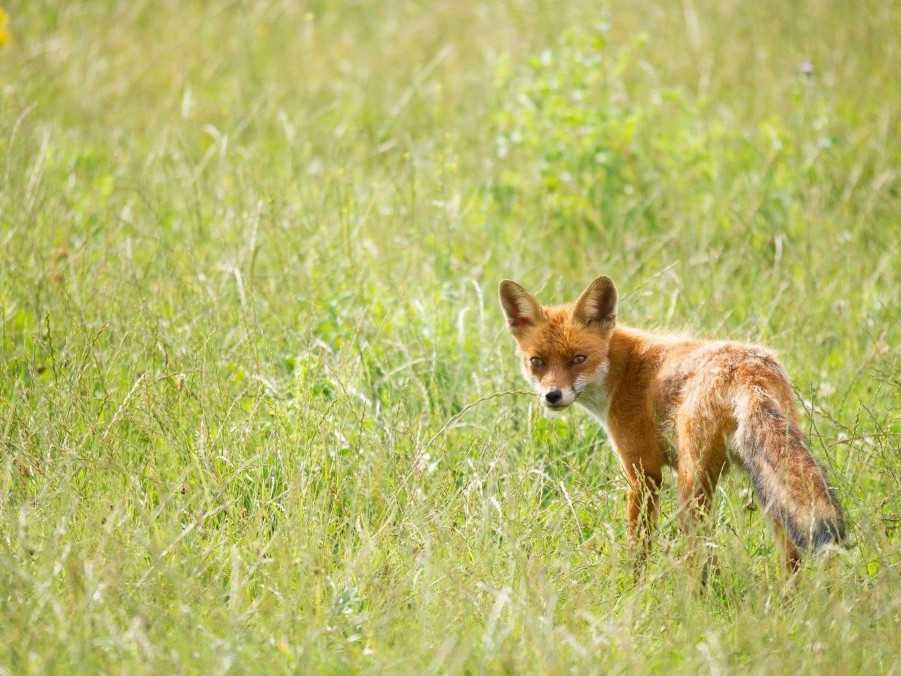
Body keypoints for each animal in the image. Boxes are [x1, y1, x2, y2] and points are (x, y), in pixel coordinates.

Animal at [500, 274, 844, 572]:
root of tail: (749, 370)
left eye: (578, 359)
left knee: (702, 554)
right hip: (768, 483)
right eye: (537, 361)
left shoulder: (644, 473)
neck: (622, 371)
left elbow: (639, 545)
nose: (552, 396)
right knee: (791, 554)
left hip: (692, 485)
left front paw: (633, 585)